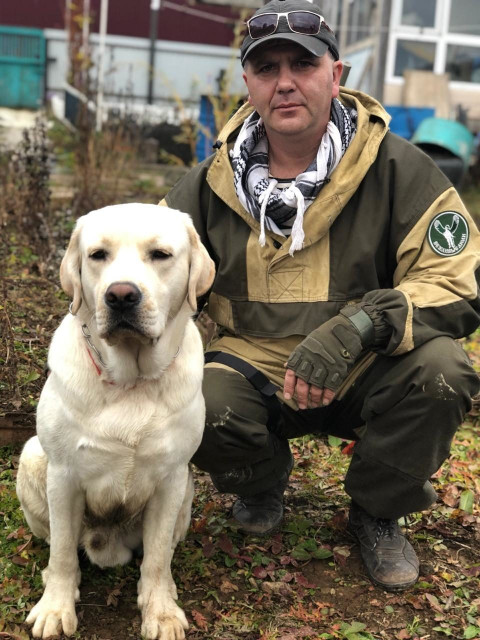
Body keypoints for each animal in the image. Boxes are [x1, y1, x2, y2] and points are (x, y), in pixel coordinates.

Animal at [16, 204, 215, 640]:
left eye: (160, 254)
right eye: (97, 255)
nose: (121, 295)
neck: (132, 381)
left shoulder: (171, 478)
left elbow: (156, 558)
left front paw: (160, 611)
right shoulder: (64, 475)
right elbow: (62, 554)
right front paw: (55, 608)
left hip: (187, 492)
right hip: (32, 457)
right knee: (59, 544)